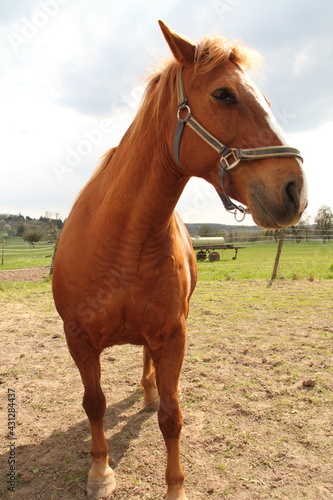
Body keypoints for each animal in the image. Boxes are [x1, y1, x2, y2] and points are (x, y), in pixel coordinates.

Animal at [52, 20, 306, 500]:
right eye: (224, 94)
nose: (295, 190)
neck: (122, 241)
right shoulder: (78, 337)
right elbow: (94, 403)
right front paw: (100, 471)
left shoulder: (173, 334)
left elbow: (172, 417)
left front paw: (175, 488)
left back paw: (149, 393)